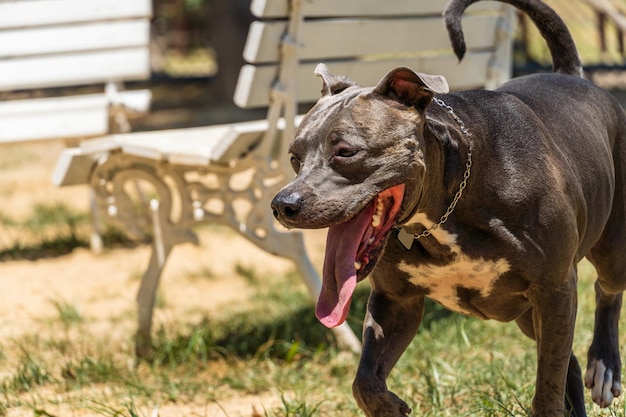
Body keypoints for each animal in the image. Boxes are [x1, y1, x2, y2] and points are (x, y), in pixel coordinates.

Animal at [270, 0, 624, 412]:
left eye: (346, 152)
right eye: (294, 157)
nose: (283, 204)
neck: (445, 210)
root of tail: (573, 77)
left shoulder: (554, 289)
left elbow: (546, 390)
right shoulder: (396, 301)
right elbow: (365, 381)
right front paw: (389, 406)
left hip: (609, 254)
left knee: (606, 290)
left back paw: (605, 367)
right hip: (529, 314)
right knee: (566, 360)